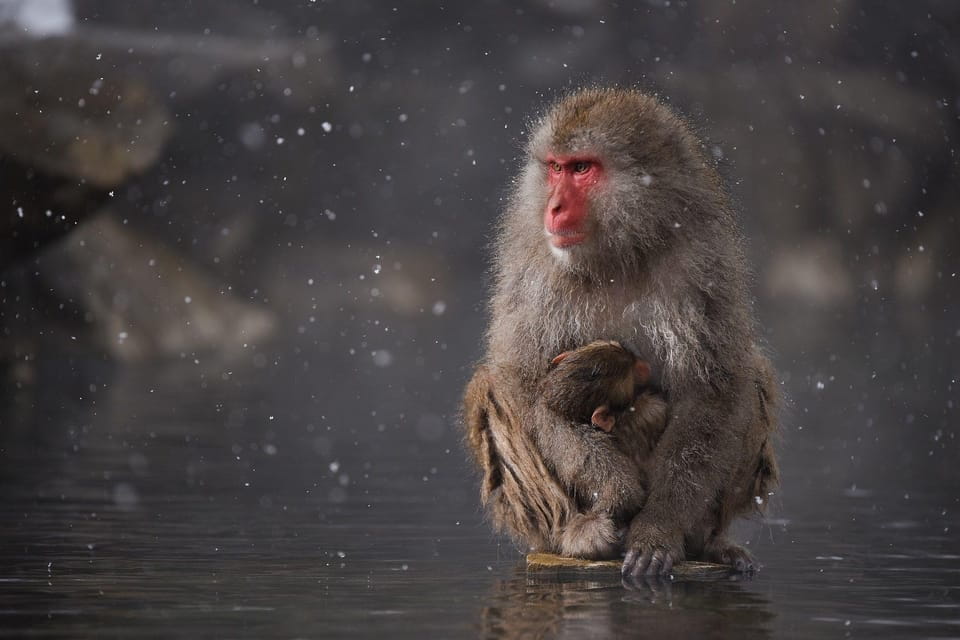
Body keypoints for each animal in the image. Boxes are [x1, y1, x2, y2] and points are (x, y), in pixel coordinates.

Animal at [463, 88, 779, 578]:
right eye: (555, 168)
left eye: (582, 168)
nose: (553, 206)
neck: (619, 251)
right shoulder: (533, 263)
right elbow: (523, 382)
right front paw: (617, 488)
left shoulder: (704, 260)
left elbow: (714, 388)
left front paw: (658, 528)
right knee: (492, 387)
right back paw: (580, 535)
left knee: (753, 376)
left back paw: (708, 543)